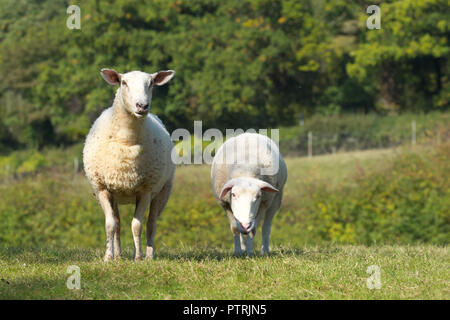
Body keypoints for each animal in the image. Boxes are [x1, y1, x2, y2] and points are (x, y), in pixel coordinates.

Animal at [82, 67, 176, 260]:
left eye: (151, 83)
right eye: (123, 82)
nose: (142, 106)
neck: (126, 140)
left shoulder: (145, 190)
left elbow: (137, 225)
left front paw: (138, 257)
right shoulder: (102, 188)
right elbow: (110, 225)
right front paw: (108, 257)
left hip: (163, 190)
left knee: (151, 223)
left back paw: (148, 255)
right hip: (116, 194)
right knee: (118, 224)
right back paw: (118, 255)